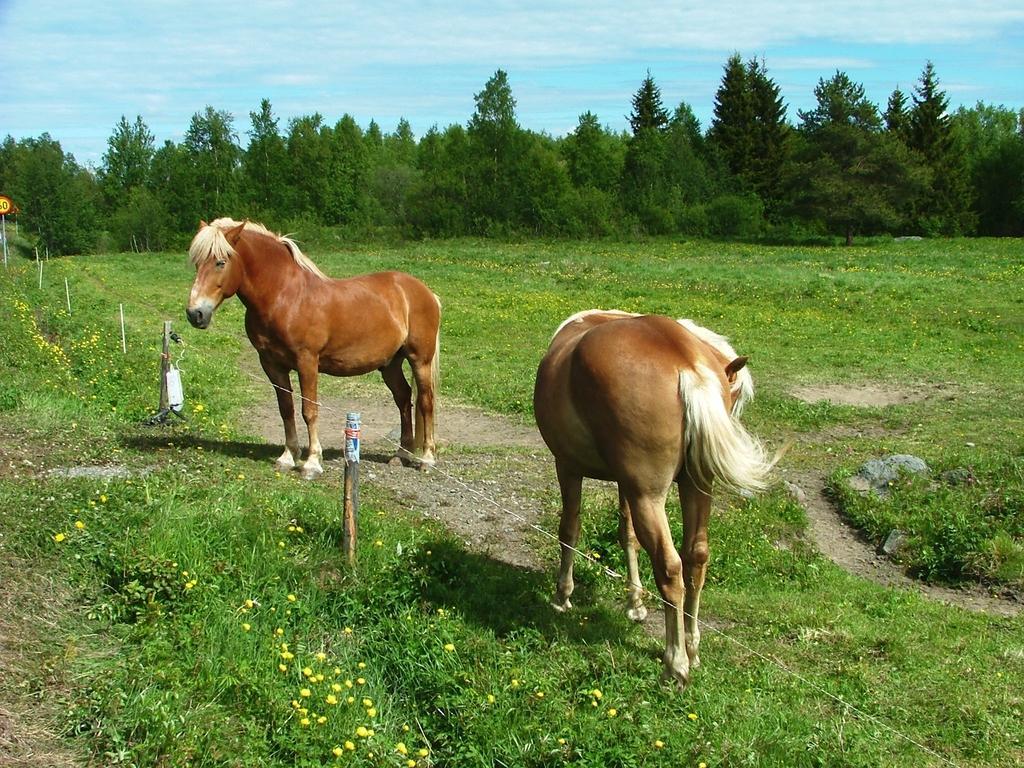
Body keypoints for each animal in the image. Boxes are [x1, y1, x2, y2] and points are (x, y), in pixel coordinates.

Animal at [185, 219, 440, 479]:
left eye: (220, 262)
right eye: (197, 262)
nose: (195, 314)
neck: (285, 296)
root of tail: (424, 291)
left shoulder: (307, 362)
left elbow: (309, 410)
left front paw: (312, 463)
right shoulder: (272, 364)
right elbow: (286, 409)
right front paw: (288, 457)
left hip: (420, 360)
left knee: (425, 402)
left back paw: (427, 459)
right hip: (389, 364)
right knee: (403, 398)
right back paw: (401, 455)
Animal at [536, 309, 774, 688]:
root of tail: (683, 361)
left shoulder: (567, 466)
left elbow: (569, 530)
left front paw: (563, 595)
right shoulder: (625, 483)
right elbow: (627, 535)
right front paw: (635, 602)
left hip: (648, 496)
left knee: (669, 566)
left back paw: (675, 663)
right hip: (693, 487)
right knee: (696, 557)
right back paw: (691, 647)